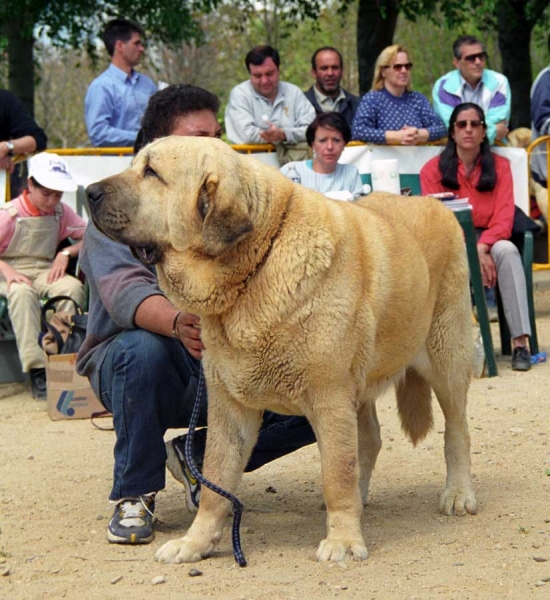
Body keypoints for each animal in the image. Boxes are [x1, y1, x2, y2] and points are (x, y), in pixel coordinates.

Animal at [87, 135, 478, 564]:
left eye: (152, 172)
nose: (88, 192)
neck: (257, 264)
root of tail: (433, 204)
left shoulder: (329, 398)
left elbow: (337, 473)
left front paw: (343, 539)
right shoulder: (229, 406)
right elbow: (216, 482)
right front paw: (197, 542)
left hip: (446, 357)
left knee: (456, 430)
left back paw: (458, 493)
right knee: (371, 439)